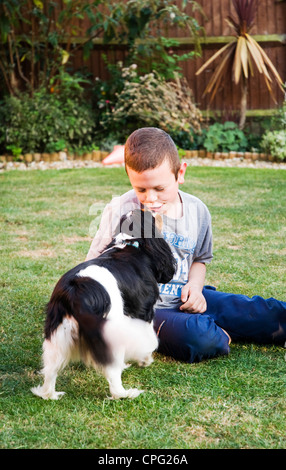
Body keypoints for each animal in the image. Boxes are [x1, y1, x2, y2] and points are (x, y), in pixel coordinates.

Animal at [30, 211, 174, 398]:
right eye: (149, 213)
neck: (130, 242)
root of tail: (75, 292)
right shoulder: (144, 312)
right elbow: (148, 338)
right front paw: (145, 359)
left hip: (57, 334)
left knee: (50, 370)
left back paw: (49, 394)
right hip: (111, 331)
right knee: (113, 377)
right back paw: (126, 393)